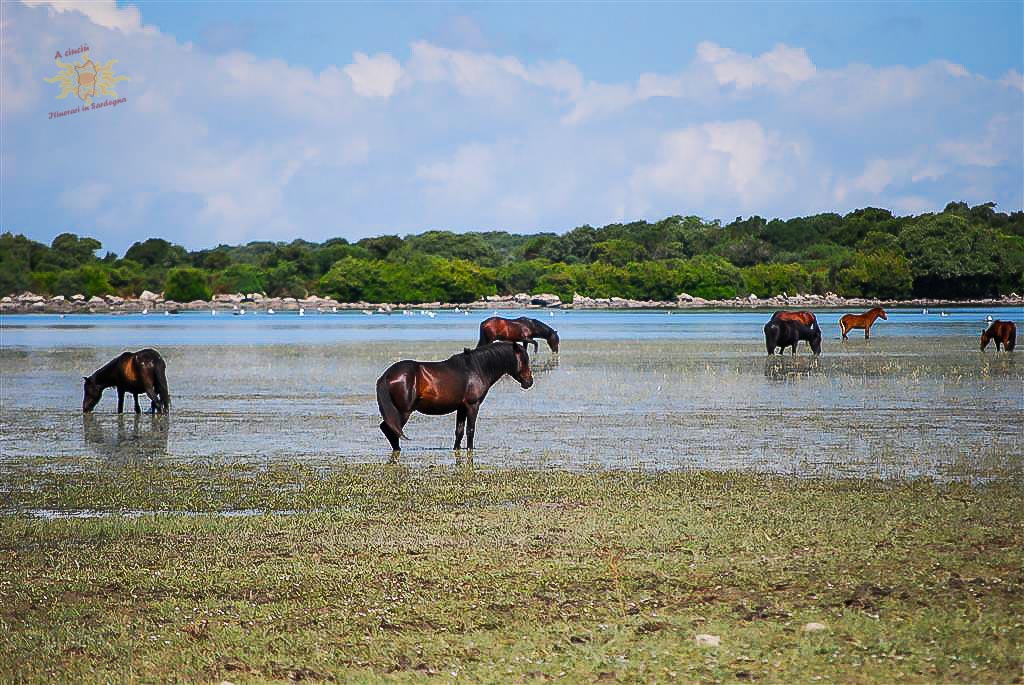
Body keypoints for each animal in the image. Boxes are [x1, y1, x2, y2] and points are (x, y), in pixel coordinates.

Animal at [378, 339, 536, 450]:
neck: (475, 369)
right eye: (524, 360)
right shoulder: (473, 405)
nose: (529, 382)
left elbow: (459, 431)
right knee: (390, 429)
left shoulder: (461, 408)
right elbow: (470, 430)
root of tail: (387, 375)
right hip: (403, 411)